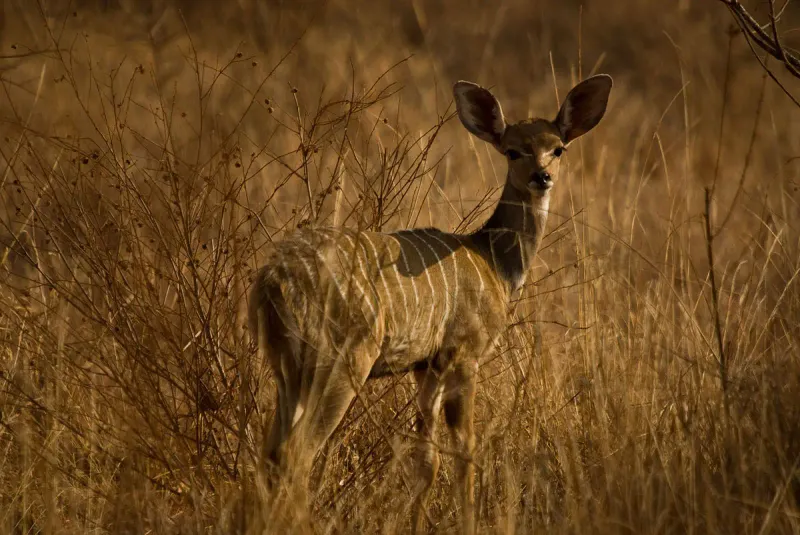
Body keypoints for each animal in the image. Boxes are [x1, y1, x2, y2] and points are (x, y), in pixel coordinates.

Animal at [250, 74, 612, 532]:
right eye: (512, 150)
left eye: (558, 147)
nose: (542, 176)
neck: (493, 262)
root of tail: (272, 280)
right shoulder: (464, 352)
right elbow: (465, 451)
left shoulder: (425, 364)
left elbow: (426, 459)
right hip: (343, 357)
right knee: (294, 453)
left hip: (287, 365)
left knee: (270, 453)